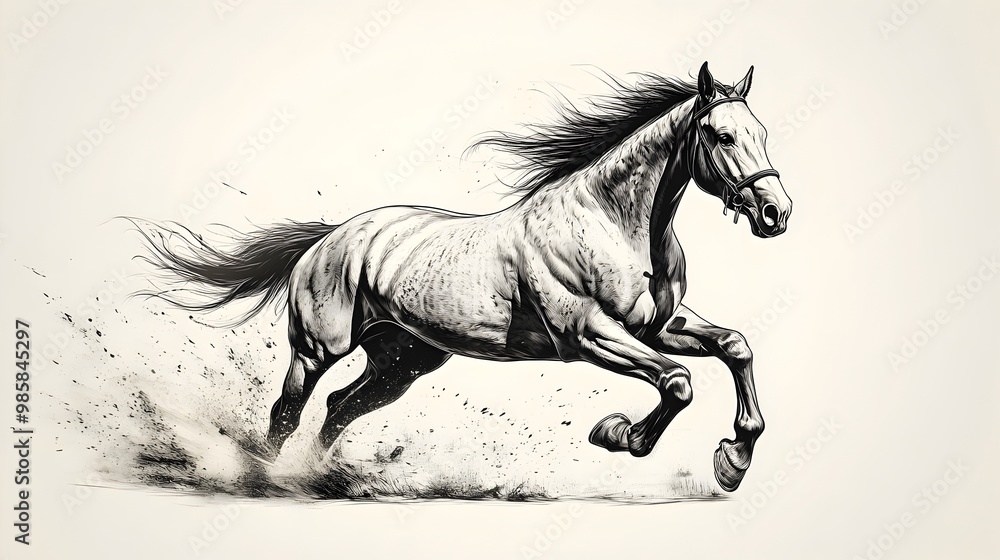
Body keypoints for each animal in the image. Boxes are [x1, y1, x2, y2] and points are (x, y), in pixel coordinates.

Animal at [133, 62, 792, 492]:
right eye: (723, 135)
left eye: (763, 133)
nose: (775, 213)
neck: (611, 222)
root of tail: (328, 238)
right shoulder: (589, 335)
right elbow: (678, 382)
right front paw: (619, 435)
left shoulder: (658, 326)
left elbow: (734, 347)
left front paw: (733, 459)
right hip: (317, 350)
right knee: (287, 412)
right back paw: (264, 478)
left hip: (403, 362)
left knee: (343, 408)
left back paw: (322, 476)